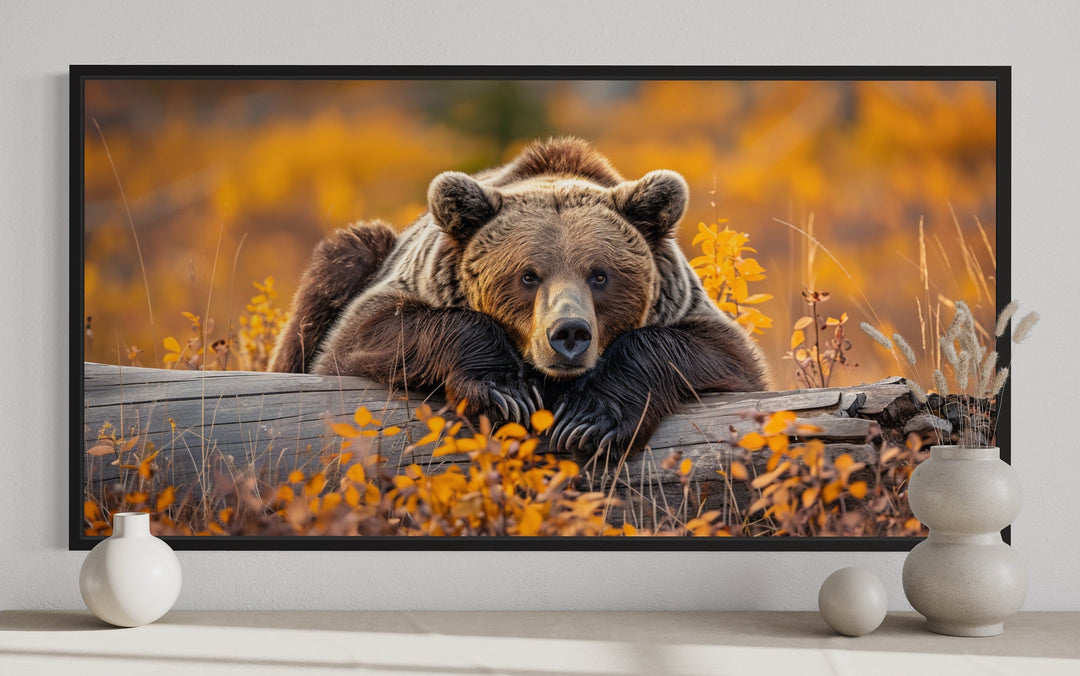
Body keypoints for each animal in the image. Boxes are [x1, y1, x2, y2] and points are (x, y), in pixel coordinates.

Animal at [270, 137, 768, 455]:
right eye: (528, 276)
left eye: (600, 275)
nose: (569, 333)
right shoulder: (409, 287)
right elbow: (360, 338)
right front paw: (505, 393)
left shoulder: (686, 307)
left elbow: (723, 355)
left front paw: (587, 419)